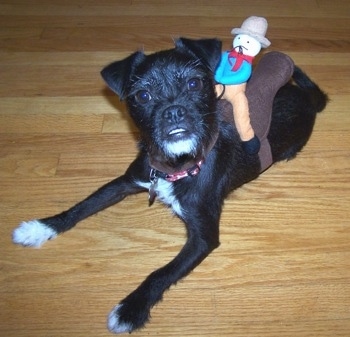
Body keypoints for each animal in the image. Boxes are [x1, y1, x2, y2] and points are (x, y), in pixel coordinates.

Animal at [12, 38, 326, 332]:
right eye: (143, 95)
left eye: (194, 83)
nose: (174, 111)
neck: (176, 167)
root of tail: (307, 96)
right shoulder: (127, 181)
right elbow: (82, 206)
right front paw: (41, 228)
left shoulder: (203, 238)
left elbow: (161, 273)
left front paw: (130, 309)